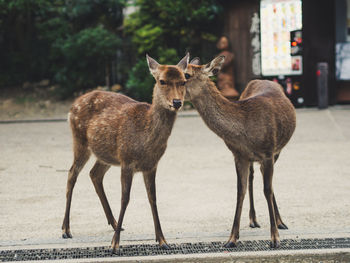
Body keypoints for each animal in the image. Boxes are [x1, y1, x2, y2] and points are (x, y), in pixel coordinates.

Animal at [61, 53, 190, 254]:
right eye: (161, 81)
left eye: (184, 81)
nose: (177, 102)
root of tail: (73, 105)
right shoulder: (127, 161)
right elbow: (125, 198)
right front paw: (114, 245)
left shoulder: (151, 165)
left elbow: (153, 198)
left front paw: (162, 240)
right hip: (80, 140)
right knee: (72, 173)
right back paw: (66, 229)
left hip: (106, 154)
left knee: (94, 174)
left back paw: (115, 224)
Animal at [185, 56, 296, 249]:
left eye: (186, 74)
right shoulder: (239, 155)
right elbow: (240, 191)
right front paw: (231, 238)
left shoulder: (268, 151)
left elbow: (267, 190)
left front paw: (275, 238)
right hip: (255, 158)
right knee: (253, 176)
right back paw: (253, 219)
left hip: (277, 150)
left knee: (267, 182)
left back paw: (280, 222)